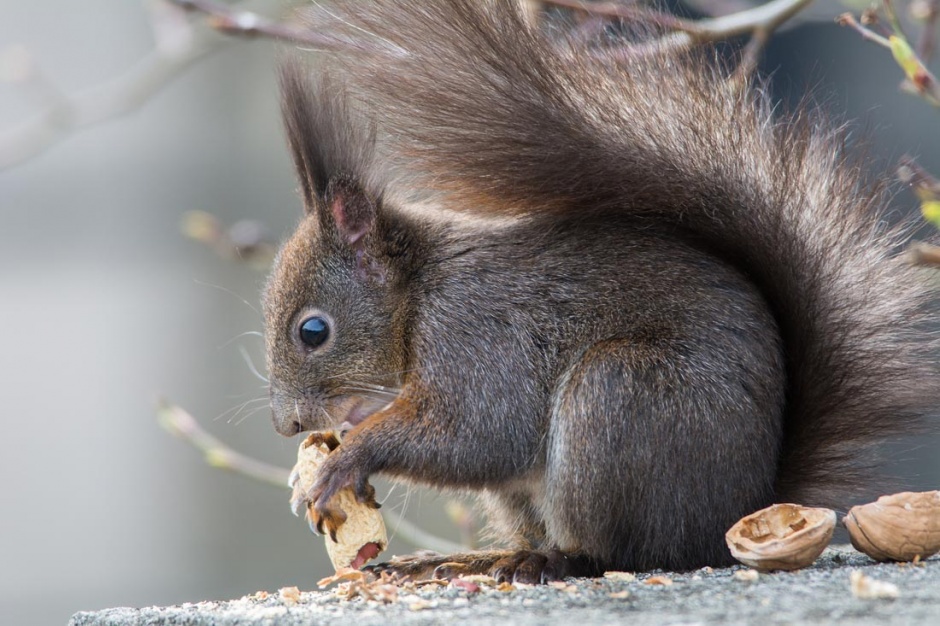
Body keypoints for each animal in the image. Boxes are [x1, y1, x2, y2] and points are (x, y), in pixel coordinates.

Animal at [260, 0, 940, 580]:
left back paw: (553, 560)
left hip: (617, 400)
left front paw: (347, 459)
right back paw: (464, 560)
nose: (287, 425)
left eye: (313, 331)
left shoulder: (477, 335)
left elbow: (477, 432)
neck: (420, 291)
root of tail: (736, 508)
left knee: (623, 551)